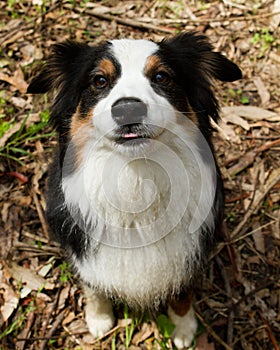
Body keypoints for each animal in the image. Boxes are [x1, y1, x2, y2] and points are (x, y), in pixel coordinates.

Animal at [29, 32, 243, 348]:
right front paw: (99, 318)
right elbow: (93, 284)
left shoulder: (186, 254)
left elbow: (183, 292)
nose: (128, 108)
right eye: (99, 80)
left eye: (162, 76)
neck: (135, 178)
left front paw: (184, 328)